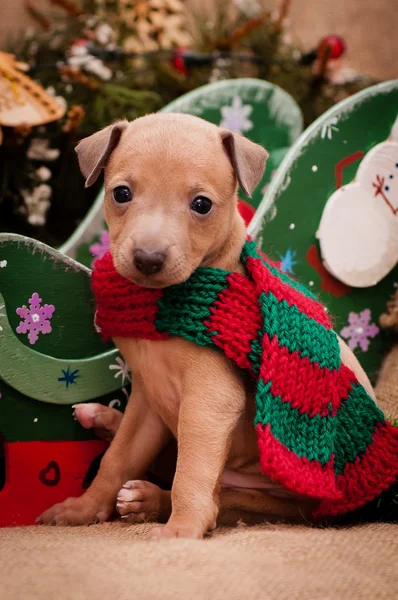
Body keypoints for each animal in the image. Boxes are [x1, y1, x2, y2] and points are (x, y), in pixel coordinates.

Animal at [38, 113, 378, 540]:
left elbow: (190, 472)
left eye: (201, 204)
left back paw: (149, 498)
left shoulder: (210, 400)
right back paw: (103, 422)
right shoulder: (147, 399)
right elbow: (117, 460)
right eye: (121, 193)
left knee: (216, 497)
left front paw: (181, 530)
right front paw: (83, 509)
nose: (148, 258)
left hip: (270, 500)